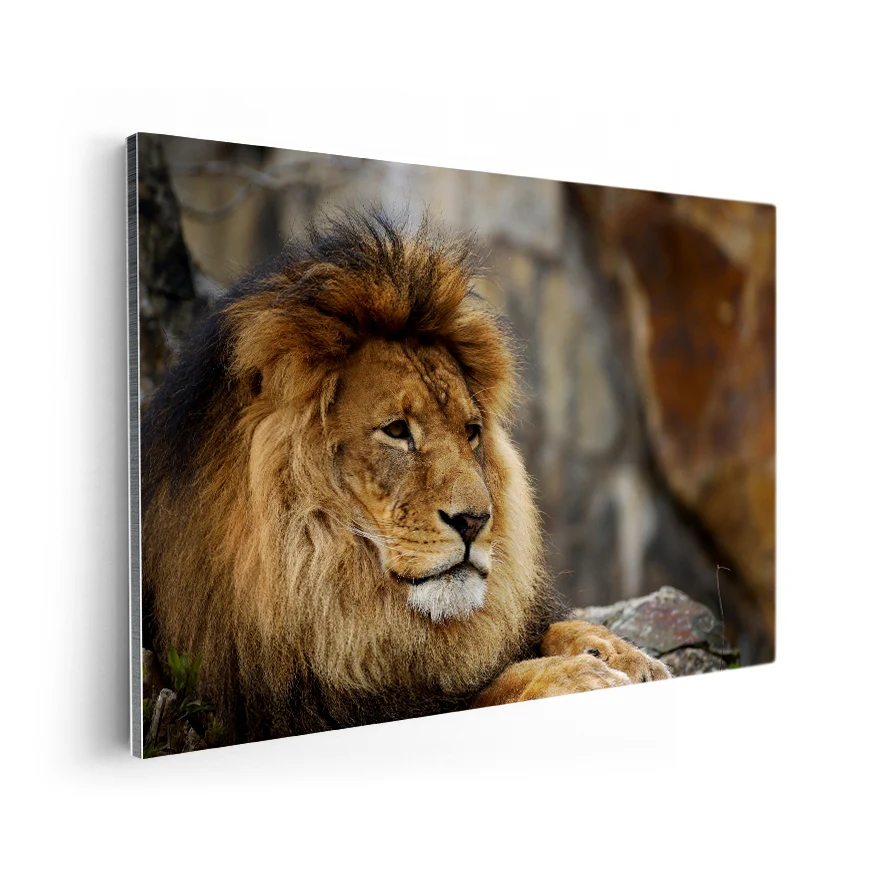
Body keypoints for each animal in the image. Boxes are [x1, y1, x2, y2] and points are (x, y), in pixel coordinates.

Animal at [142, 210, 670, 744]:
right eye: (396, 430)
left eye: (471, 432)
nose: (475, 521)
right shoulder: (297, 710)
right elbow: (479, 696)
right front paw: (574, 676)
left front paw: (623, 655)